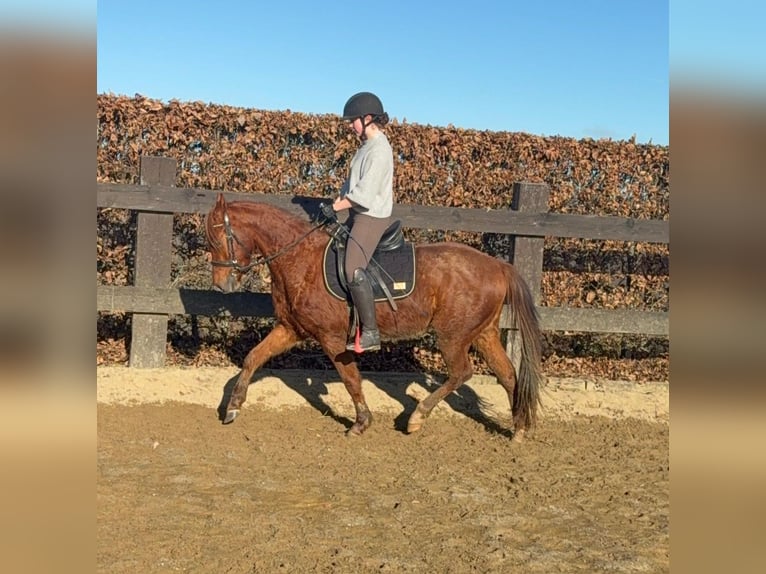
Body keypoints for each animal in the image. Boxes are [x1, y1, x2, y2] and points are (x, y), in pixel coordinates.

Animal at [204, 193, 545, 442]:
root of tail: (498, 265)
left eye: (217, 239)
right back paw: (517, 429)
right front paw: (232, 408)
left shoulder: (331, 338)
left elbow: (350, 378)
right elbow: (253, 358)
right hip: (483, 333)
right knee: (508, 375)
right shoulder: (290, 329)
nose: (221, 285)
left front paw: (361, 422)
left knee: (462, 372)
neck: (301, 259)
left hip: (454, 336)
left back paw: (417, 417)